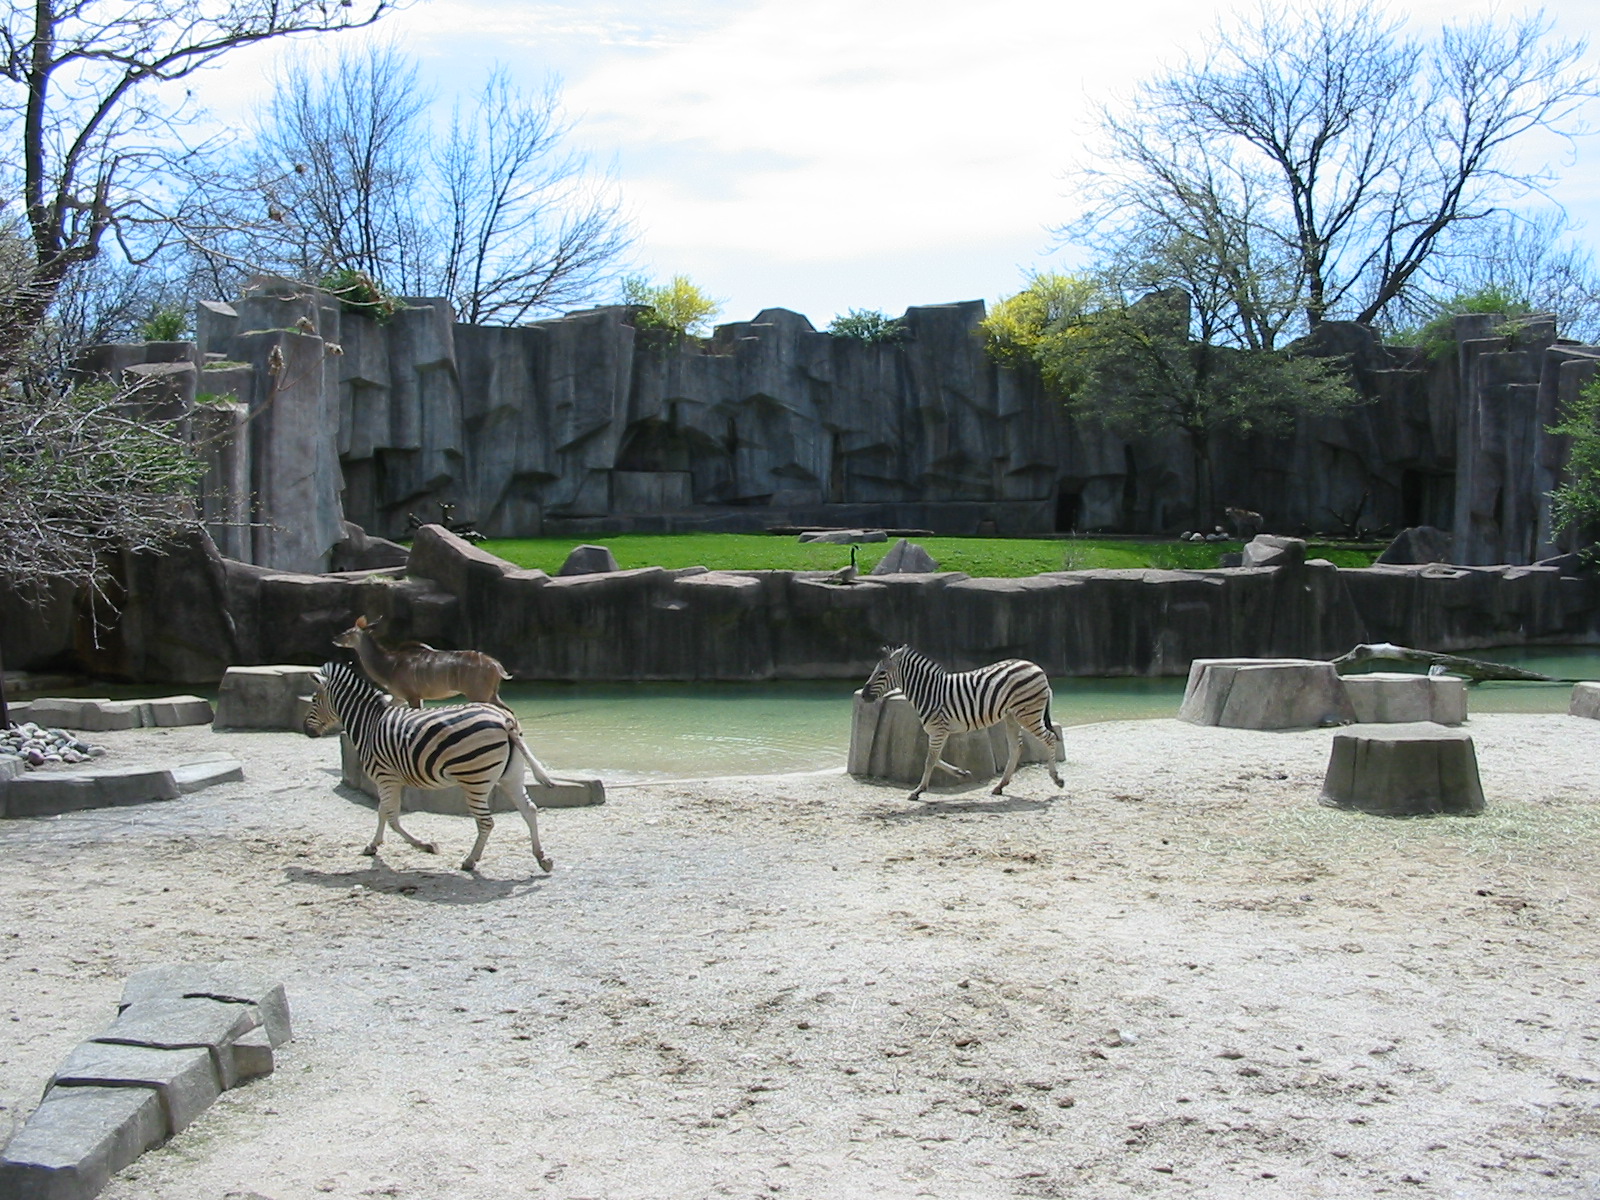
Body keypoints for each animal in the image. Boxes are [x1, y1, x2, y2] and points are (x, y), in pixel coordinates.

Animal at [303, 659, 555, 874]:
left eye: (314, 700)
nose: (307, 730)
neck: (368, 724)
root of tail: (505, 720)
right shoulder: (393, 779)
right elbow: (384, 812)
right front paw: (373, 845)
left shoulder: (384, 777)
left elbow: (390, 815)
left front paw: (424, 845)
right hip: (511, 776)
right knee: (529, 810)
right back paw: (542, 858)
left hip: (475, 779)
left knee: (486, 822)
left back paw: (470, 861)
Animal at [861, 644, 1064, 802]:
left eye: (882, 673)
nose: (863, 695)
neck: (928, 692)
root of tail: (1036, 667)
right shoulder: (939, 731)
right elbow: (934, 758)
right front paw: (962, 773)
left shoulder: (938, 730)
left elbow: (930, 760)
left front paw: (918, 791)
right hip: (1012, 716)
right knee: (1016, 747)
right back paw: (1000, 786)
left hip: (1027, 714)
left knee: (1049, 738)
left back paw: (1056, 779)